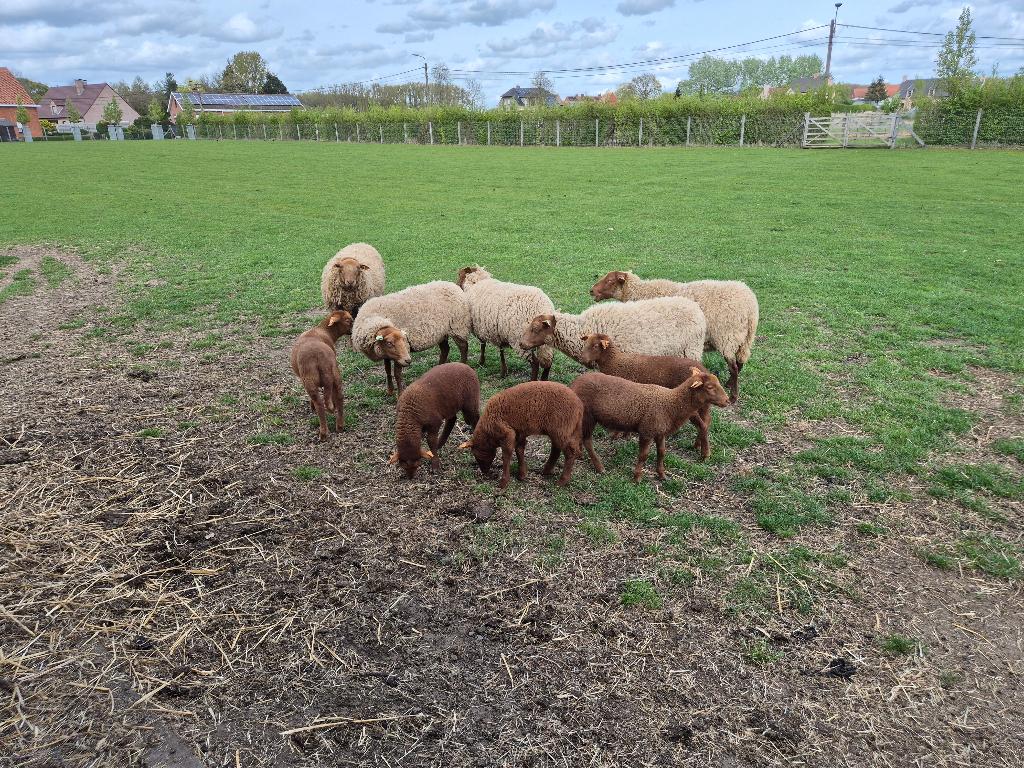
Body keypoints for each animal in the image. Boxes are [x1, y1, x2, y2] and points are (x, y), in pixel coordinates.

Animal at [289, 310, 353, 441]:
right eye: (348, 320)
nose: (353, 328)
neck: (323, 330)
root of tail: (320, 358)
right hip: (335, 374)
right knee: (339, 396)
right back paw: (340, 426)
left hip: (309, 380)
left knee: (319, 404)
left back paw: (323, 433)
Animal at [570, 369, 730, 482]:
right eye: (709, 387)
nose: (727, 401)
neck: (671, 405)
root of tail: (574, 384)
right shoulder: (647, 431)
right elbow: (643, 455)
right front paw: (637, 477)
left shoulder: (660, 432)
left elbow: (662, 452)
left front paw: (662, 475)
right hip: (588, 416)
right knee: (587, 440)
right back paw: (599, 467)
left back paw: (581, 455)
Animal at [579, 333, 713, 455]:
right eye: (586, 343)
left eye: (595, 346)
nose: (582, 359)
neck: (614, 362)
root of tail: (704, 370)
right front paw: (625, 434)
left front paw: (617, 434)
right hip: (703, 406)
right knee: (706, 422)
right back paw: (698, 446)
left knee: (702, 424)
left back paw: (704, 452)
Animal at [590, 271, 758, 403]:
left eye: (610, 281)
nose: (591, 291)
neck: (642, 292)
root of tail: (751, 305)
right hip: (744, 340)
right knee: (740, 363)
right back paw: (729, 384)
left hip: (728, 337)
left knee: (734, 367)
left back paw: (733, 396)